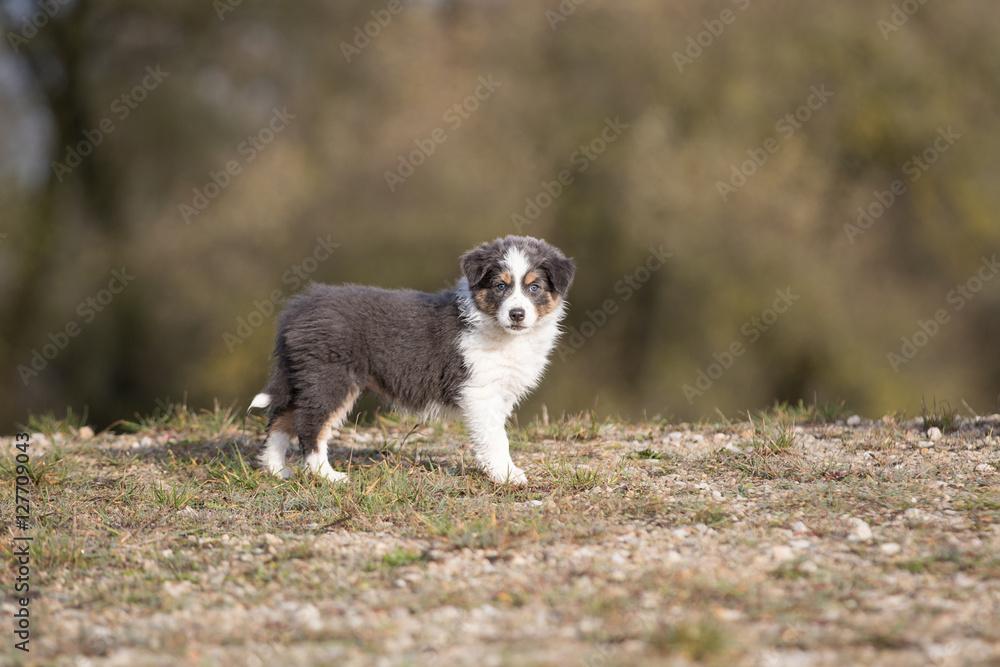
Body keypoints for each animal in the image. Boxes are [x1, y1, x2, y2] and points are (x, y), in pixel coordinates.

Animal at [252, 236, 580, 486]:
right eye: (501, 286)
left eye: (534, 288)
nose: (517, 314)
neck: (496, 328)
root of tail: (297, 310)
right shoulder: (480, 393)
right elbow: (496, 438)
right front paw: (508, 476)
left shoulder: (501, 393)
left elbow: (494, 435)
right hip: (329, 379)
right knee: (310, 426)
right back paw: (329, 476)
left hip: (304, 377)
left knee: (280, 419)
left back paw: (277, 471)